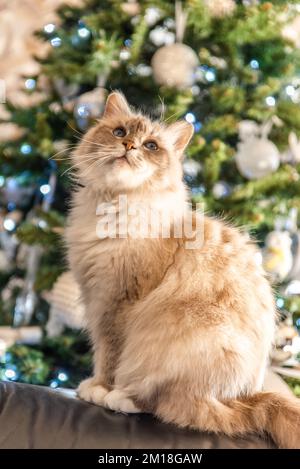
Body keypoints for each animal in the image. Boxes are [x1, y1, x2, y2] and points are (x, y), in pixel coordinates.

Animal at [65, 90, 300, 446]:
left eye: (151, 146)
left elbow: (108, 357)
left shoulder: (117, 303)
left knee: (167, 403)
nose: (129, 146)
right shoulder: (96, 296)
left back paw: (120, 398)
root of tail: (242, 398)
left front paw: (98, 388)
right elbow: (103, 352)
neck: (114, 206)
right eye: (119, 132)